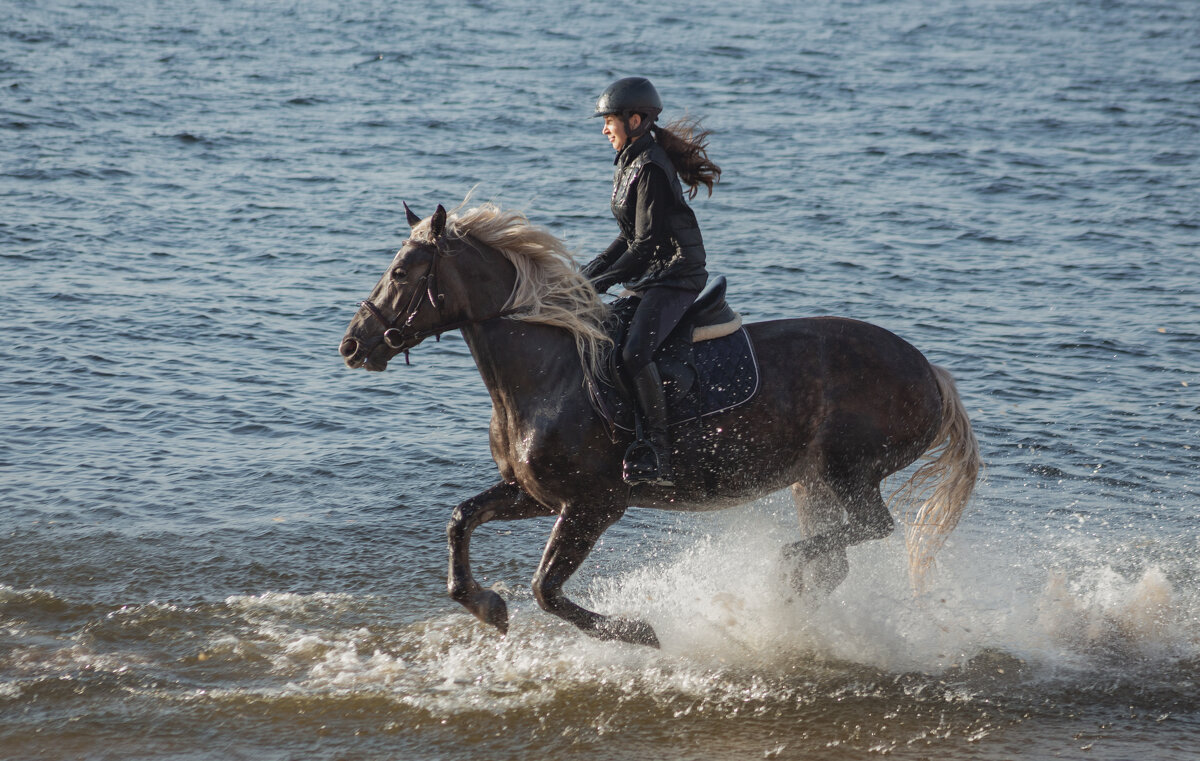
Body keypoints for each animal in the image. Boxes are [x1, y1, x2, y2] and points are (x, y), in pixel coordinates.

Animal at [343, 201, 979, 648]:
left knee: (870, 528)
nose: (353, 345)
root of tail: (930, 373)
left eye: (402, 271)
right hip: (814, 483)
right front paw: (486, 606)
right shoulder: (535, 494)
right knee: (838, 556)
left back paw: (782, 574)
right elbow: (460, 520)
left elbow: (546, 590)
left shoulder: (593, 505)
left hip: (851, 472)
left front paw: (639, 633)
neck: (549, 372)